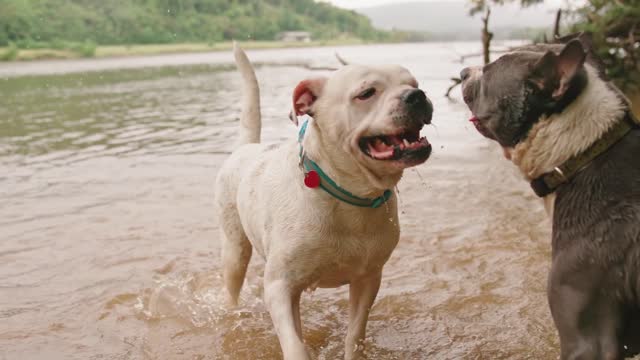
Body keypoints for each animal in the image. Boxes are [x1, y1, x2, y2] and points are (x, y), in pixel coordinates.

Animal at [216, 45, 436, 360]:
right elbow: (295, 345)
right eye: (366, 93)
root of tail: (247, 147)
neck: (349, 195)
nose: (416, 95)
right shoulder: (280, 287)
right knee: (233, 282)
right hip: (235, 250)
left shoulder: (368, 278)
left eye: (413, 83)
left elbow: (355, 334)